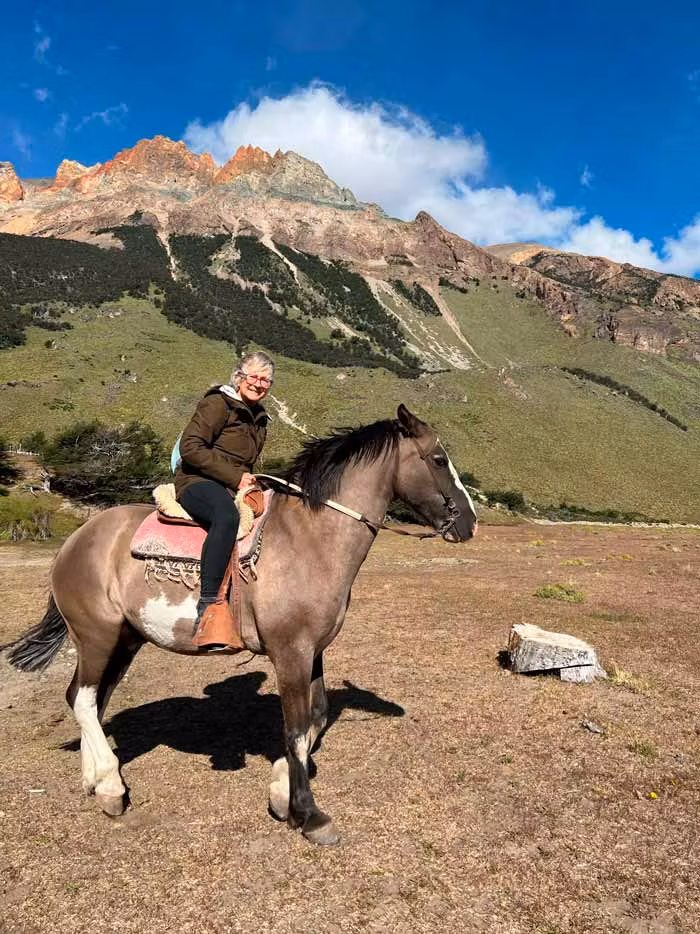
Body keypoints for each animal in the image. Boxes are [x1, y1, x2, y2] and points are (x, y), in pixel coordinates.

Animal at [5, 404, 477, 845]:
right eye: (438, 459)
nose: (469, 523)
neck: (311, 539)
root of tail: (76, 540)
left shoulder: (313, 650)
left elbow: (316, 717)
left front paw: (281, 792)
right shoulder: (290, 652)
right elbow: (295, 727)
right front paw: (308, 814)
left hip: (125, 640)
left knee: (89, 700)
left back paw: (95, 781)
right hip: (96, 636)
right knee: (85, 700)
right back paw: (109, 784)